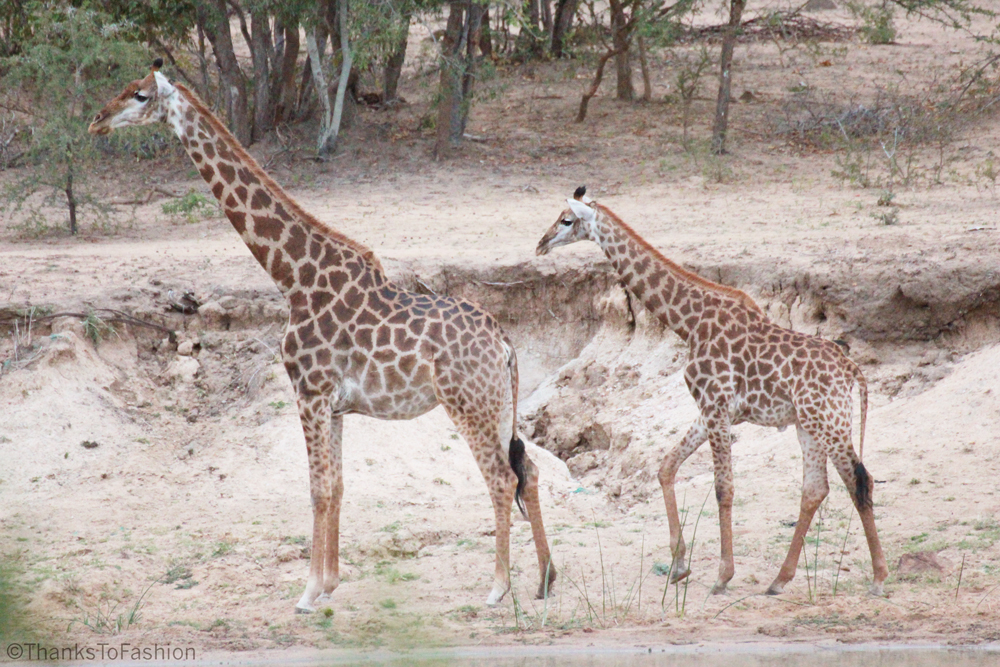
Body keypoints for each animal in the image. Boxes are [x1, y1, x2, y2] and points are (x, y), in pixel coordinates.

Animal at [536, 189, 888, 600]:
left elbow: (723, 489)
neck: (689, 323)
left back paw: (878, 577)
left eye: (566, 220)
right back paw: (779, 580)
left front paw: (722, 575)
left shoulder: (717, 406)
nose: (541, 244)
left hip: (828, 419)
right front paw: (679, 567)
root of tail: (852, 370)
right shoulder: (711, 409)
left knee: (859, 479)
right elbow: (666, 468)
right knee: (816, 488)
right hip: (808, 423)